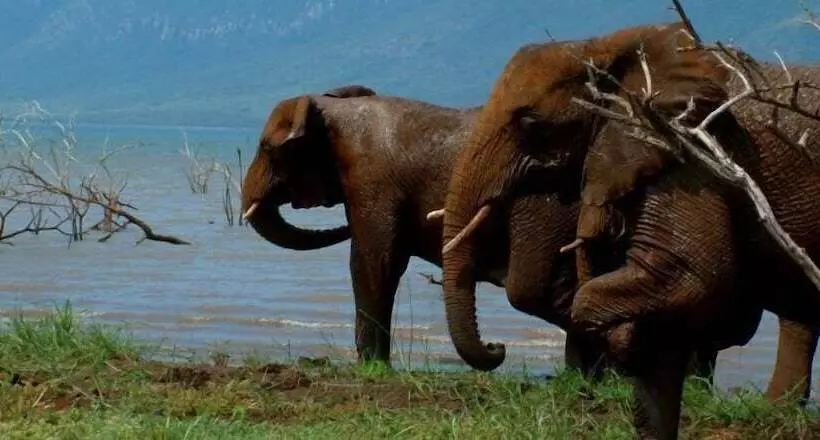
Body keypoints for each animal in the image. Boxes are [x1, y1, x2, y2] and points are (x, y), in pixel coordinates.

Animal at [434, 22, 820, 439]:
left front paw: (625, 339)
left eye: (532, 123)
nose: (496, 347)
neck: (607, 46)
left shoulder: (689, 152)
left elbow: (684, 277)